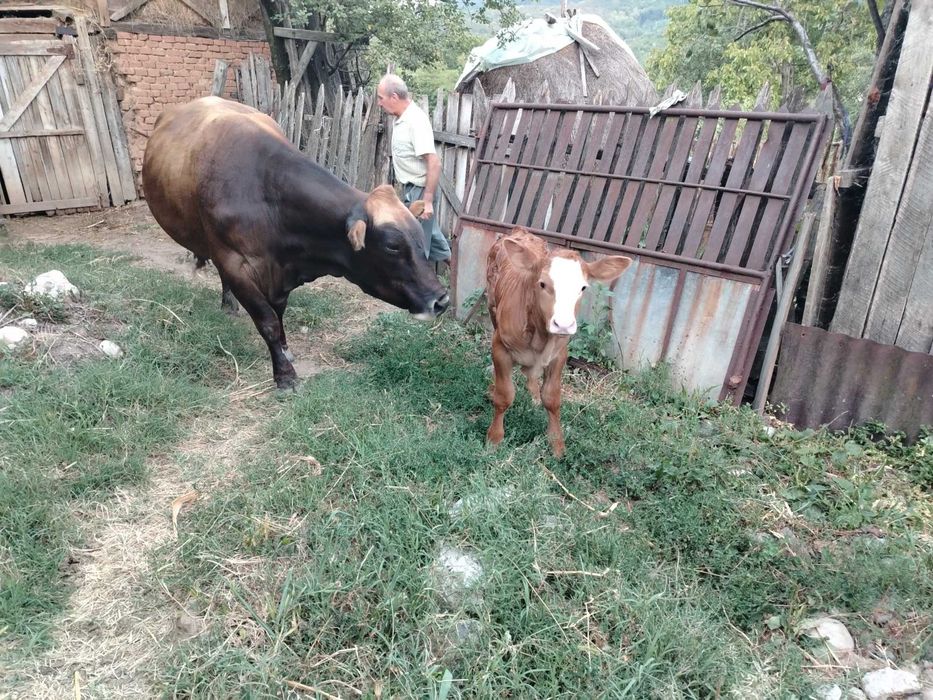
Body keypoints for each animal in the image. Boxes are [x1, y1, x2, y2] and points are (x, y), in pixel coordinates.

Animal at [142, 96, 449, 389]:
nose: (441, 300)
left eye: (420, 239)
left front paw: (285, 349)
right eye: (392, 246)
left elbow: (279, 313)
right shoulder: (236, 265)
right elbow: (267, 321)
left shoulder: (281, 272)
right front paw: (284, 376)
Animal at [485, 228, 632, 457]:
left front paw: (557, 445)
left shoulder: (559, 354)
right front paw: (494, 439)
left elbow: (552, 399)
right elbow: (504, 395)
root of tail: (521, 231)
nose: (563, 324)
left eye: (583, 287)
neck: (539, 336)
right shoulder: (500, 346)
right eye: (542, 284)